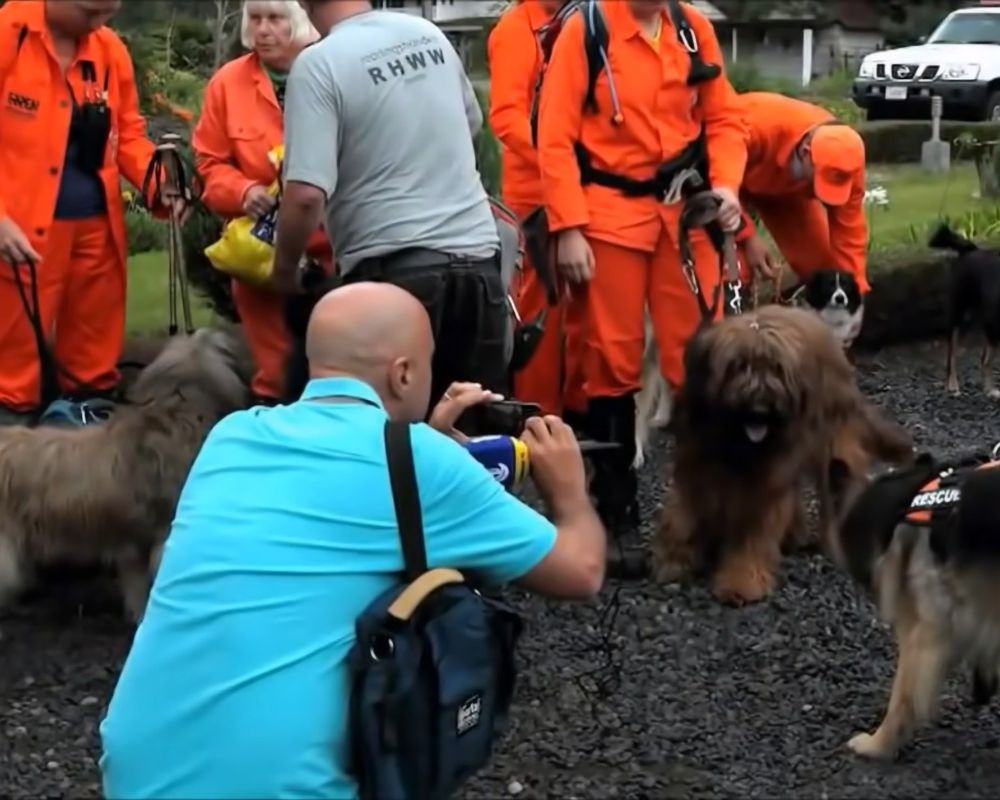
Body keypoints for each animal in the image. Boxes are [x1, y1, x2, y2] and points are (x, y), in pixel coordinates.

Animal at [652, 304, 916, 604]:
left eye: (776, 369)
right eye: (737, 366)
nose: (759, 408)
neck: (736, 442)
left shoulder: (764, 482)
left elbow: (754, 533)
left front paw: (742, 581)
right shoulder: (696, 463)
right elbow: (682, 515)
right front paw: (675, 560)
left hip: (831, 443)